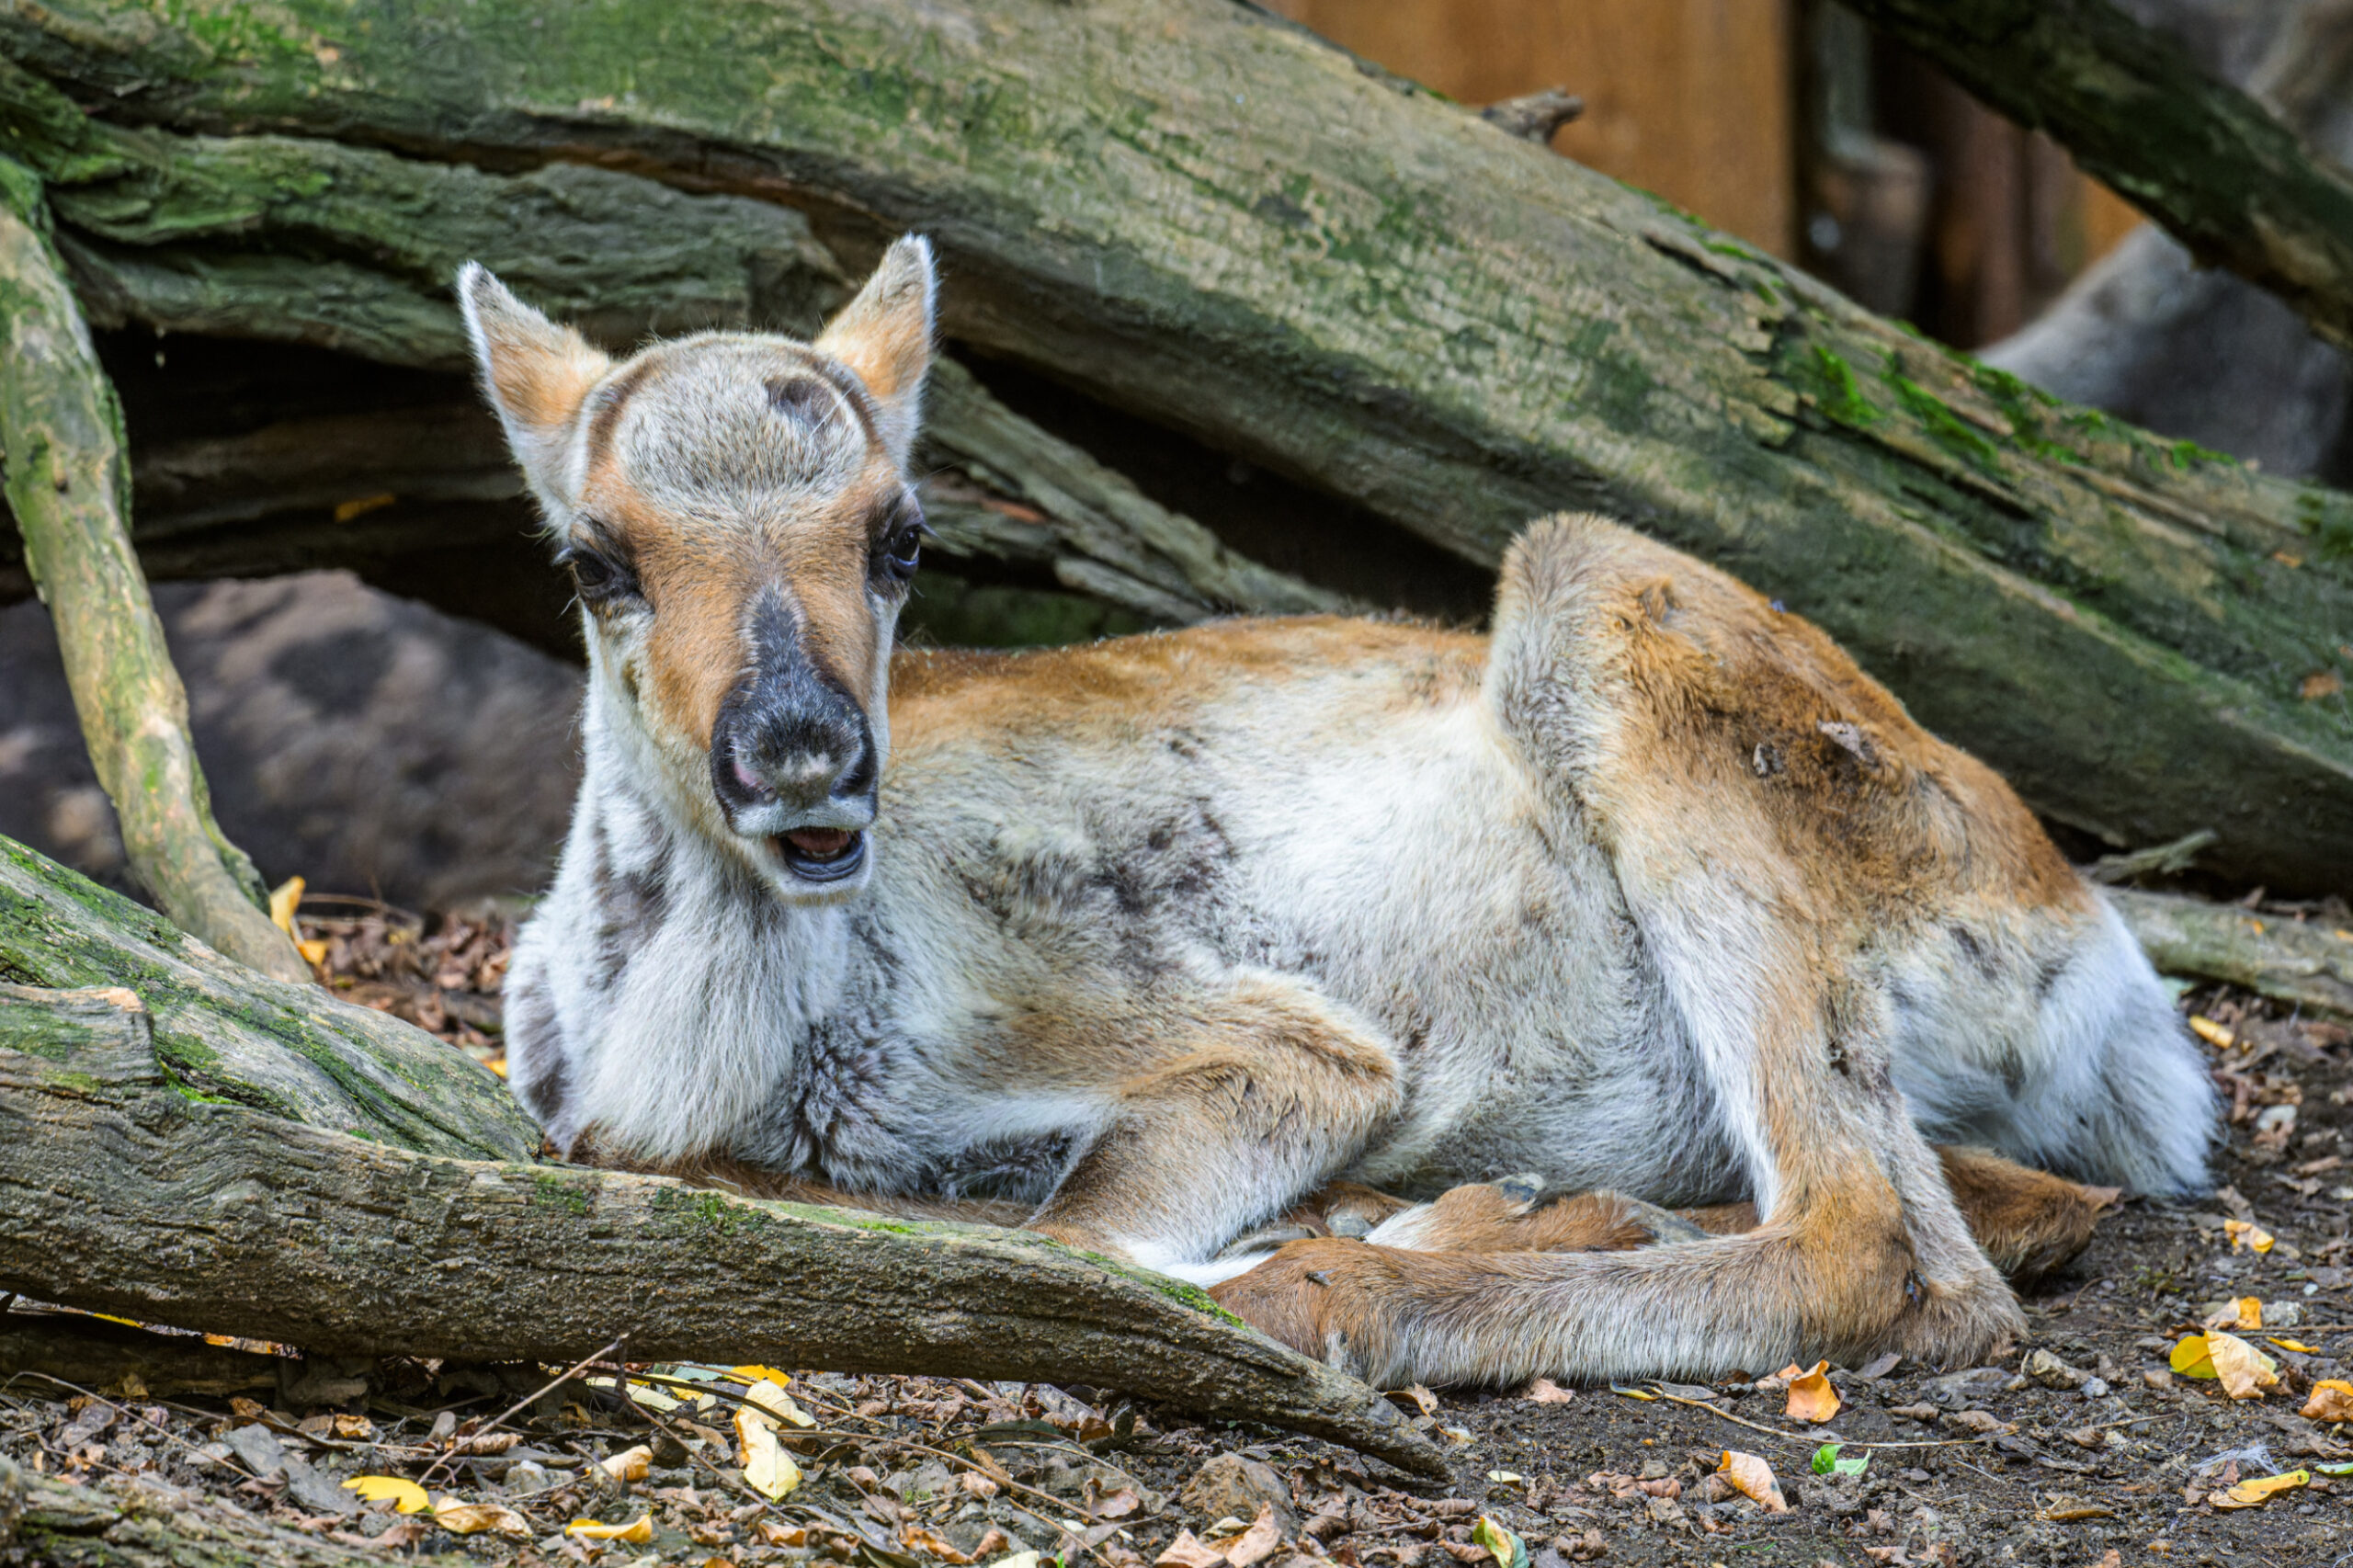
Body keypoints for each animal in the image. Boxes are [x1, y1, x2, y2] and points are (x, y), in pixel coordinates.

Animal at [468, 235, 2211, 1384]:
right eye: (595, 555)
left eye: (899, 535)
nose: (803, 751)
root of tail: (2104, 970)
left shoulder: (1271, 1040)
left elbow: (1075, 1238)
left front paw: (1427, 1231)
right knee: (2002, 1202)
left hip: (1606, 609)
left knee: (1894, 1248)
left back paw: (1396, 1270)